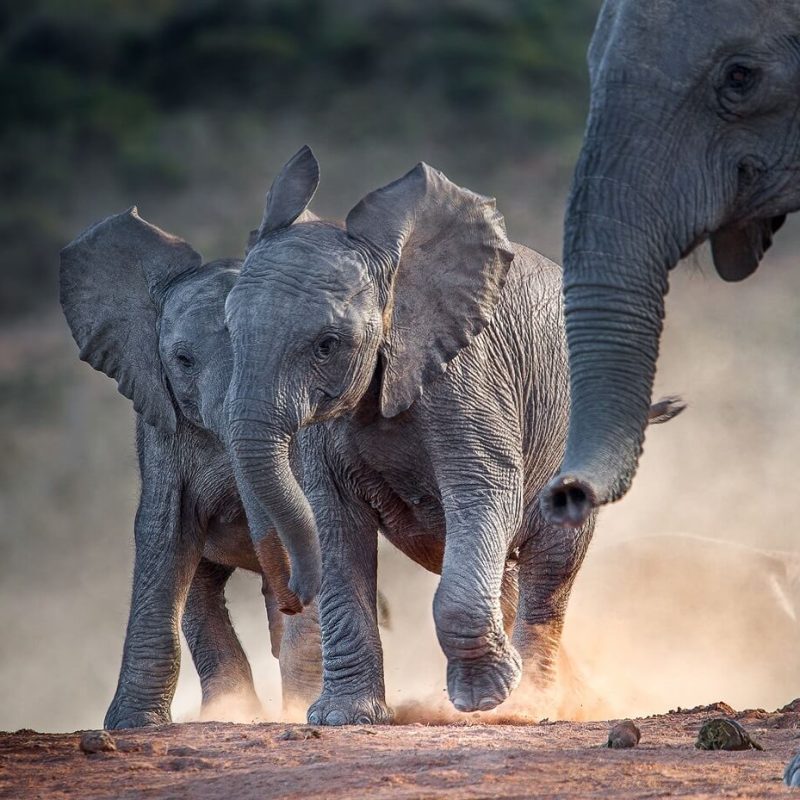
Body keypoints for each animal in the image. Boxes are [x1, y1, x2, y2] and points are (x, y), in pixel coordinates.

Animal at [222, 145, 684, 724]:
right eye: (228, 331)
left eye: (327, 344)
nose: (291, 594)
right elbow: (335, 523)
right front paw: (343, 719)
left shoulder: (468, 376)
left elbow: (483, 491)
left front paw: (485, 700)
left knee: (549, 568)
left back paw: (532, 704)